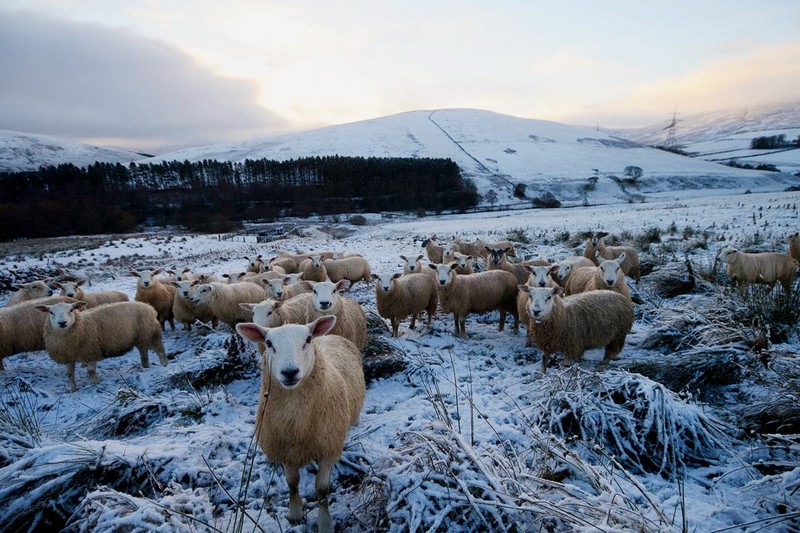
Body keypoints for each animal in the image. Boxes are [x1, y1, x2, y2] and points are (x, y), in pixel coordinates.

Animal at [36, 300, 167, 390]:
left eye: (71, 310)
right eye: (51, 312)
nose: (62, 323)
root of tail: (148, 307)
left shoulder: (91, 351)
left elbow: (90, 371)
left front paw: (96, 383)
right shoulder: (68, 356)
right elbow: (69, 374)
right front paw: (72, 389)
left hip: (150, 334)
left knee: (160, 349)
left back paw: (164, 365)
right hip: (140, 338)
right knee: (143, 351)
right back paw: (145, 366)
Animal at [234, 316, 366, 532]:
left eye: (308, 339)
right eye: (269, 343)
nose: (289, 372)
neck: (297, 423)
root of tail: (329, 335)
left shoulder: (328, 447)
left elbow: (322, 489)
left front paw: (325, 523)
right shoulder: (285, 448)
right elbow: (292, 483)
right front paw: (295, 513)